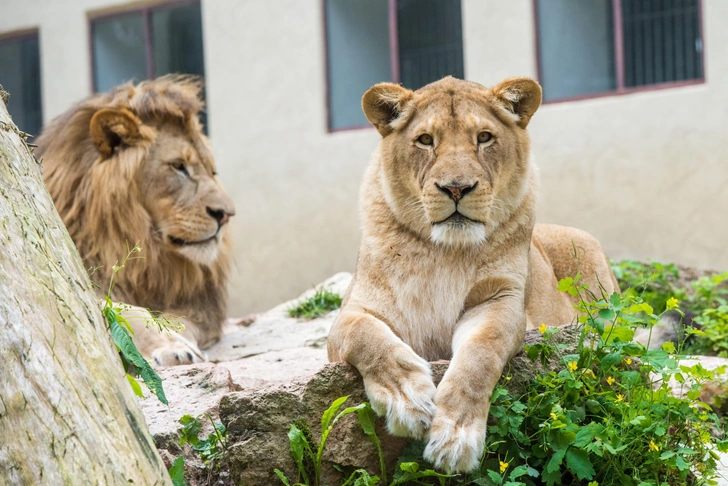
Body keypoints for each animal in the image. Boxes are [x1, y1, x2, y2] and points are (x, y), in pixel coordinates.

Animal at [35, 75, 235, 364]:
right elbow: (130, 312)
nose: (227, 215)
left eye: (212, 171)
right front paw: (170, 348)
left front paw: (178, 342)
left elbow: (177, 320)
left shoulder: (198, 303)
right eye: (178, 166)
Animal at [330, 78, 620, 472]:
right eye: (425, 140)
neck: (443, 253)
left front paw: (455, 438)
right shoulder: (353, 313)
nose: (456, 188)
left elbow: (480, 355)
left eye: (484, 137)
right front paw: (407, 400)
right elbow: (367, 338)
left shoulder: (501, 300)